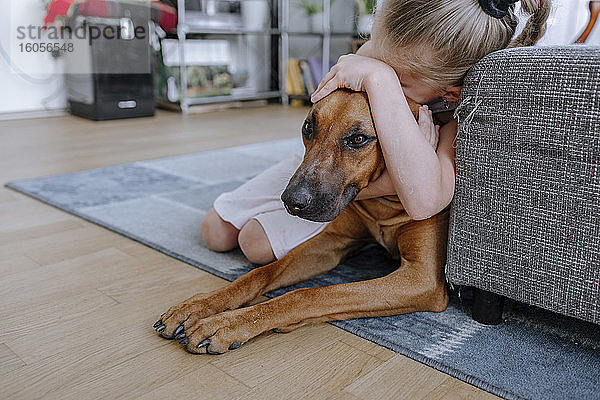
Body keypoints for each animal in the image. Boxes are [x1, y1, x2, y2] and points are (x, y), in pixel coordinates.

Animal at [155, 90, 450, 354]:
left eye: (358, 139)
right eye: (308, 127)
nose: (291, 201)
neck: (384, 206)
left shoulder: (420, 278)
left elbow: (308, 294)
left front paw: (228, 324)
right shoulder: (331, 243)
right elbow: (257, 274)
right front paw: (199, 306)